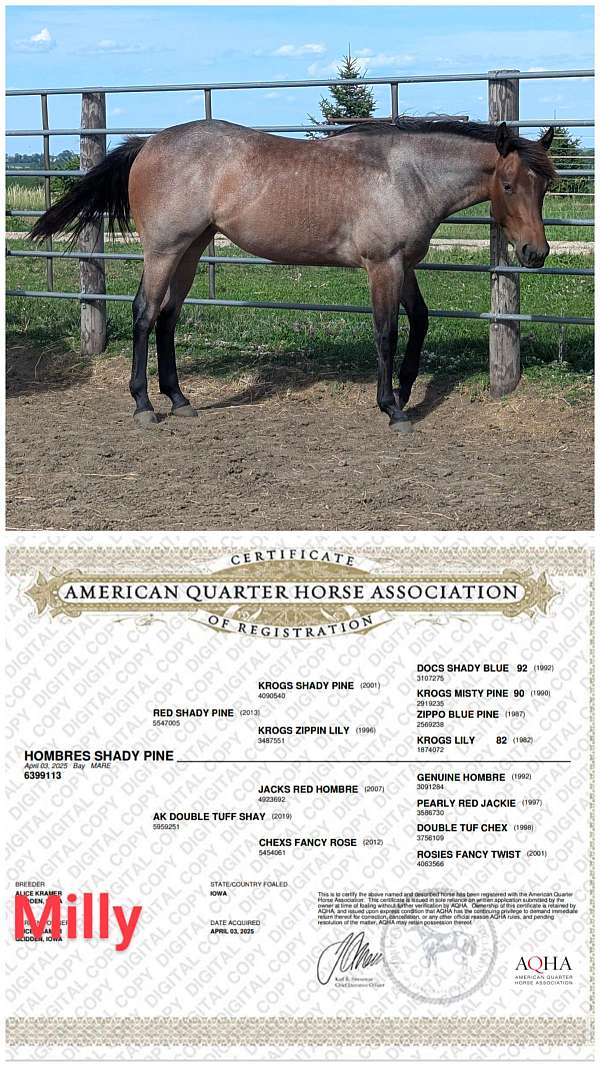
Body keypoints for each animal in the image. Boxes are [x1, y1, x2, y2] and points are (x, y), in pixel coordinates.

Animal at [31, 116, 556, 430]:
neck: (406, 175)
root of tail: (148, 144)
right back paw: (144, 405)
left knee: (167, 317)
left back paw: (179, 399)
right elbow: (386, 332)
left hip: (192, 249)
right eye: (509, 184)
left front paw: (406, 393)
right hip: (163, 250)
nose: (536, 253)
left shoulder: (404, 265)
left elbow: (421, 321)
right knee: (144, 313)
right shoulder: (382, 266)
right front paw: (391, 407)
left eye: (545, 186)